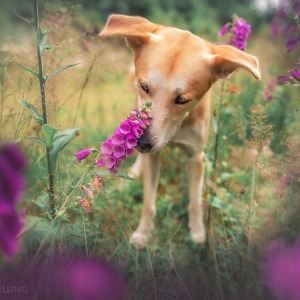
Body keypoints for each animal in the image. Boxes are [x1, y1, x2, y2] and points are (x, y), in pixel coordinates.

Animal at [99, 15, 260, 247]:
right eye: (144, 87)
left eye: (182, 100)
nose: (142, 143)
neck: (176, 128)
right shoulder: (152, 156)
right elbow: (149, 202)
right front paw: (143, 232)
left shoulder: (196, 156)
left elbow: (195, 201)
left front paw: (197, 231)